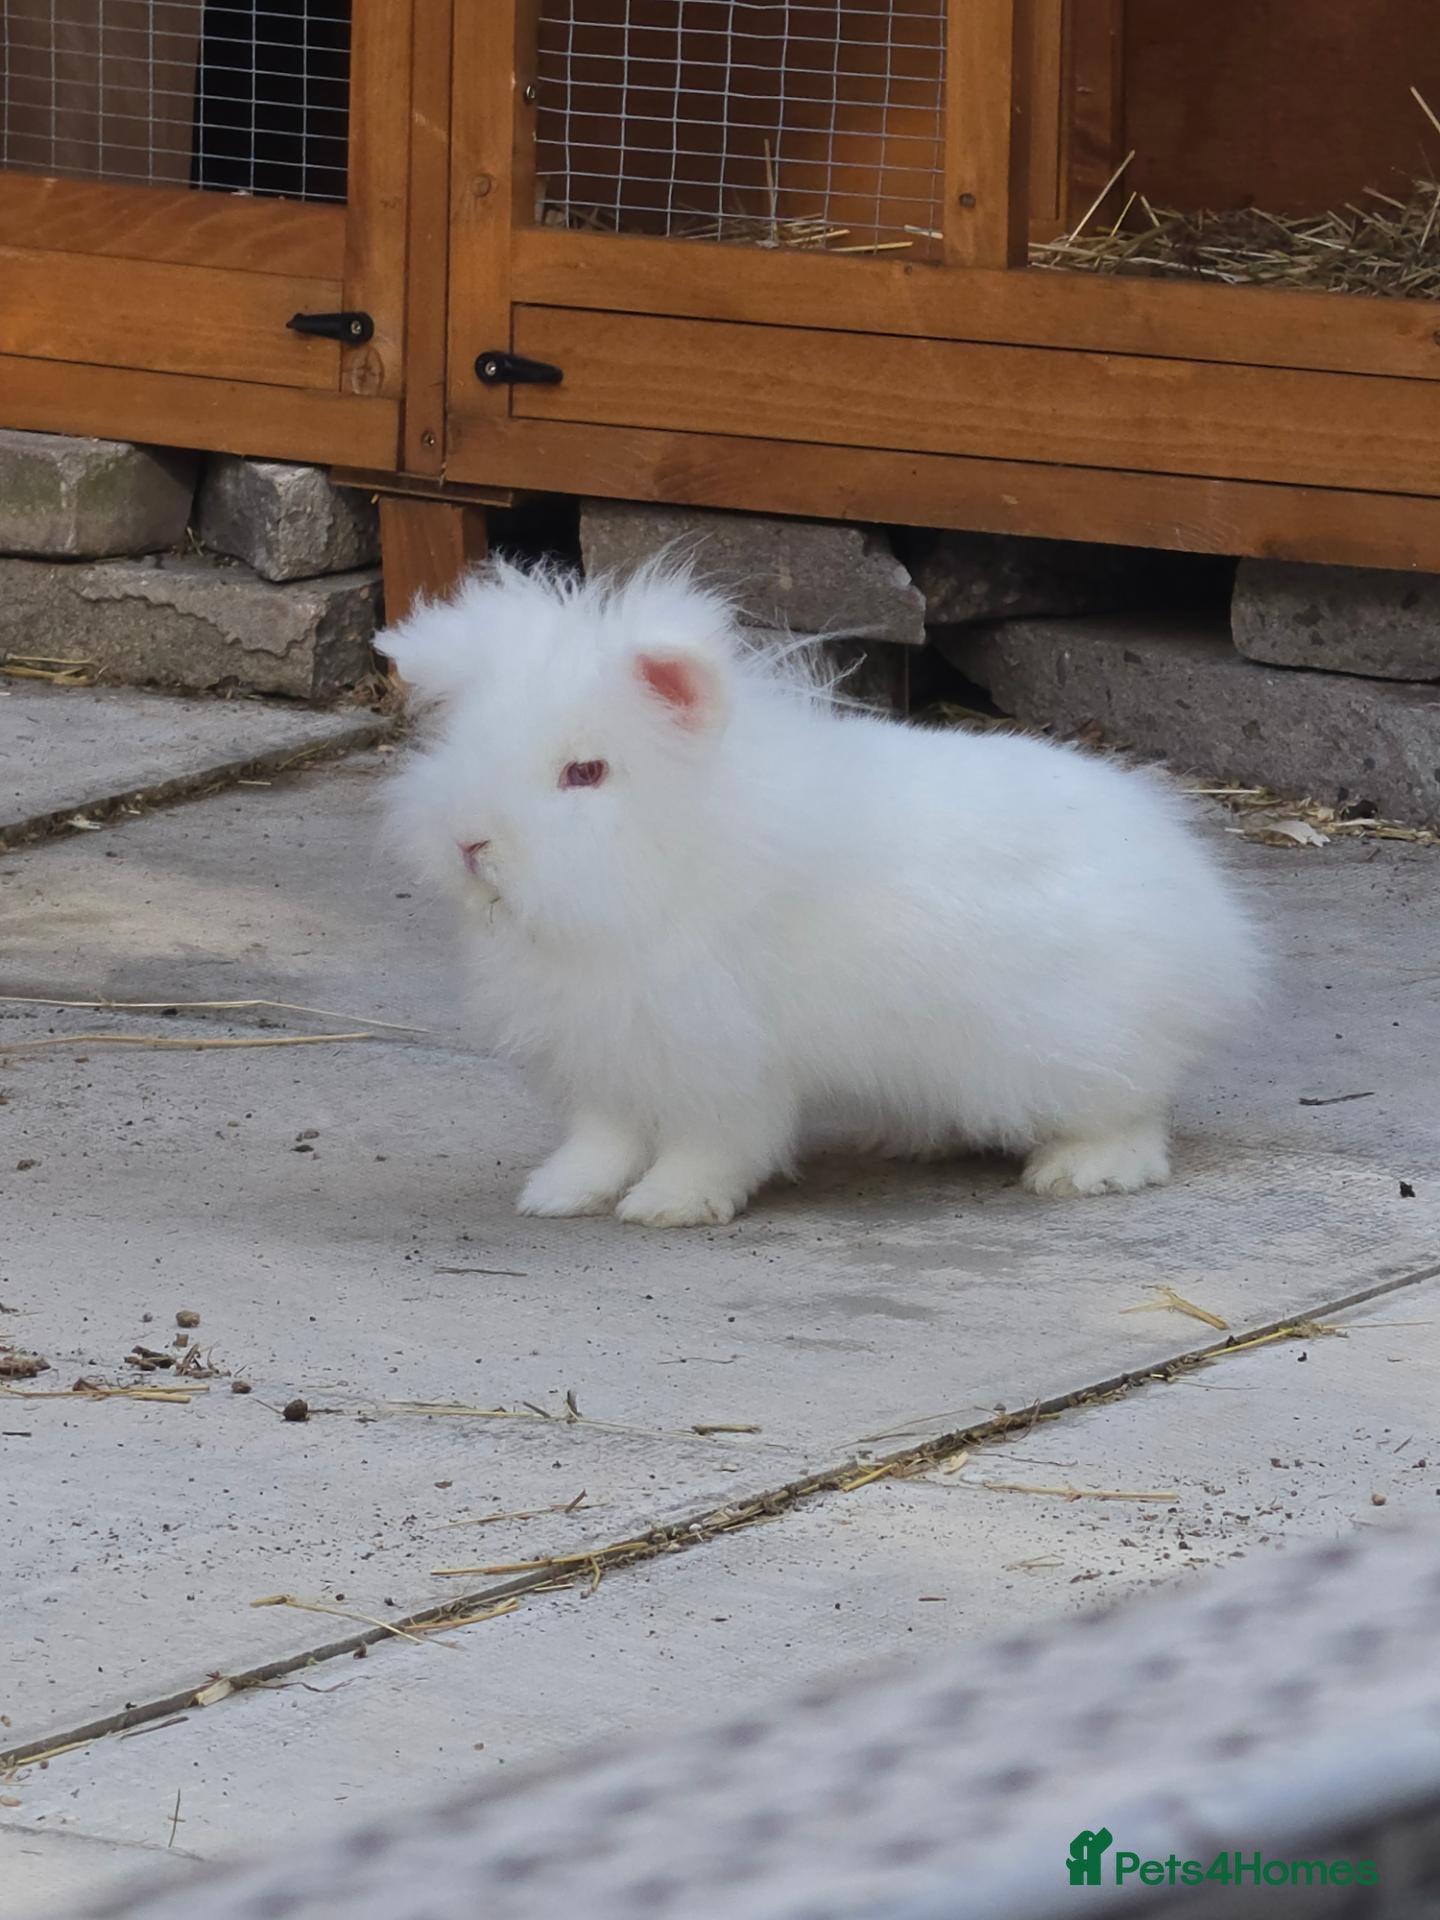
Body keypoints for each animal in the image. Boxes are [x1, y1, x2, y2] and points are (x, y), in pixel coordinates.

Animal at [383, 558, 1261, 1229]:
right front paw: (559, 1194)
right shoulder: (609, 1054)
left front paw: (668, 1205)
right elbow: (603, 1139)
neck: (666, 860)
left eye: (585, 772)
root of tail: (1210, 916)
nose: (470, 842)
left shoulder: (720, 1057)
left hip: (1077, 1048)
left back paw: (1081, 1172)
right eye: (464, 745)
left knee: (1132, 1116)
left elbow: (712, 1143)